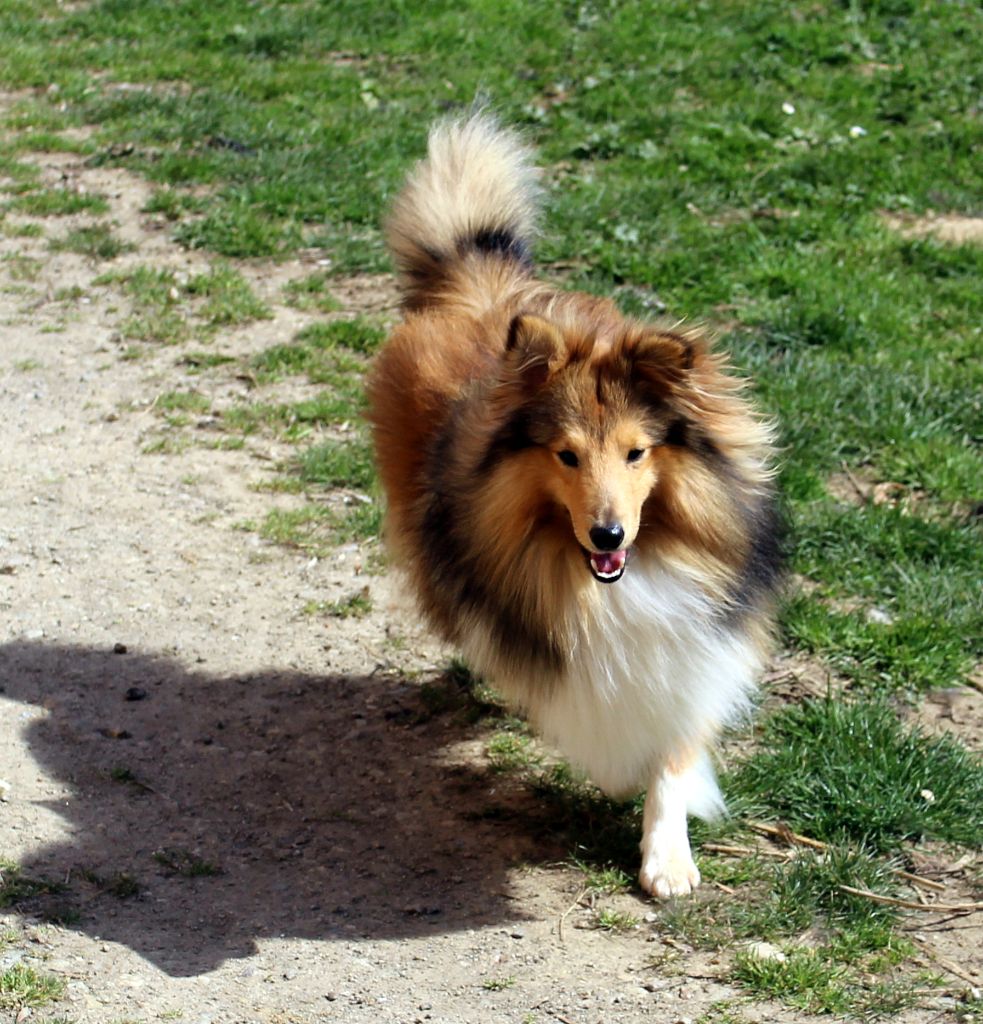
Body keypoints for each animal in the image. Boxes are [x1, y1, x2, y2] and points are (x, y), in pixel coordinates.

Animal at [367, 112, 781, 897]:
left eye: (636, 452)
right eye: (566, 455)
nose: (607, 534)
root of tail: (480, 282)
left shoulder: (695, 644)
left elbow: (674, 746)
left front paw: (667, 856)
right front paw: (619, 770)